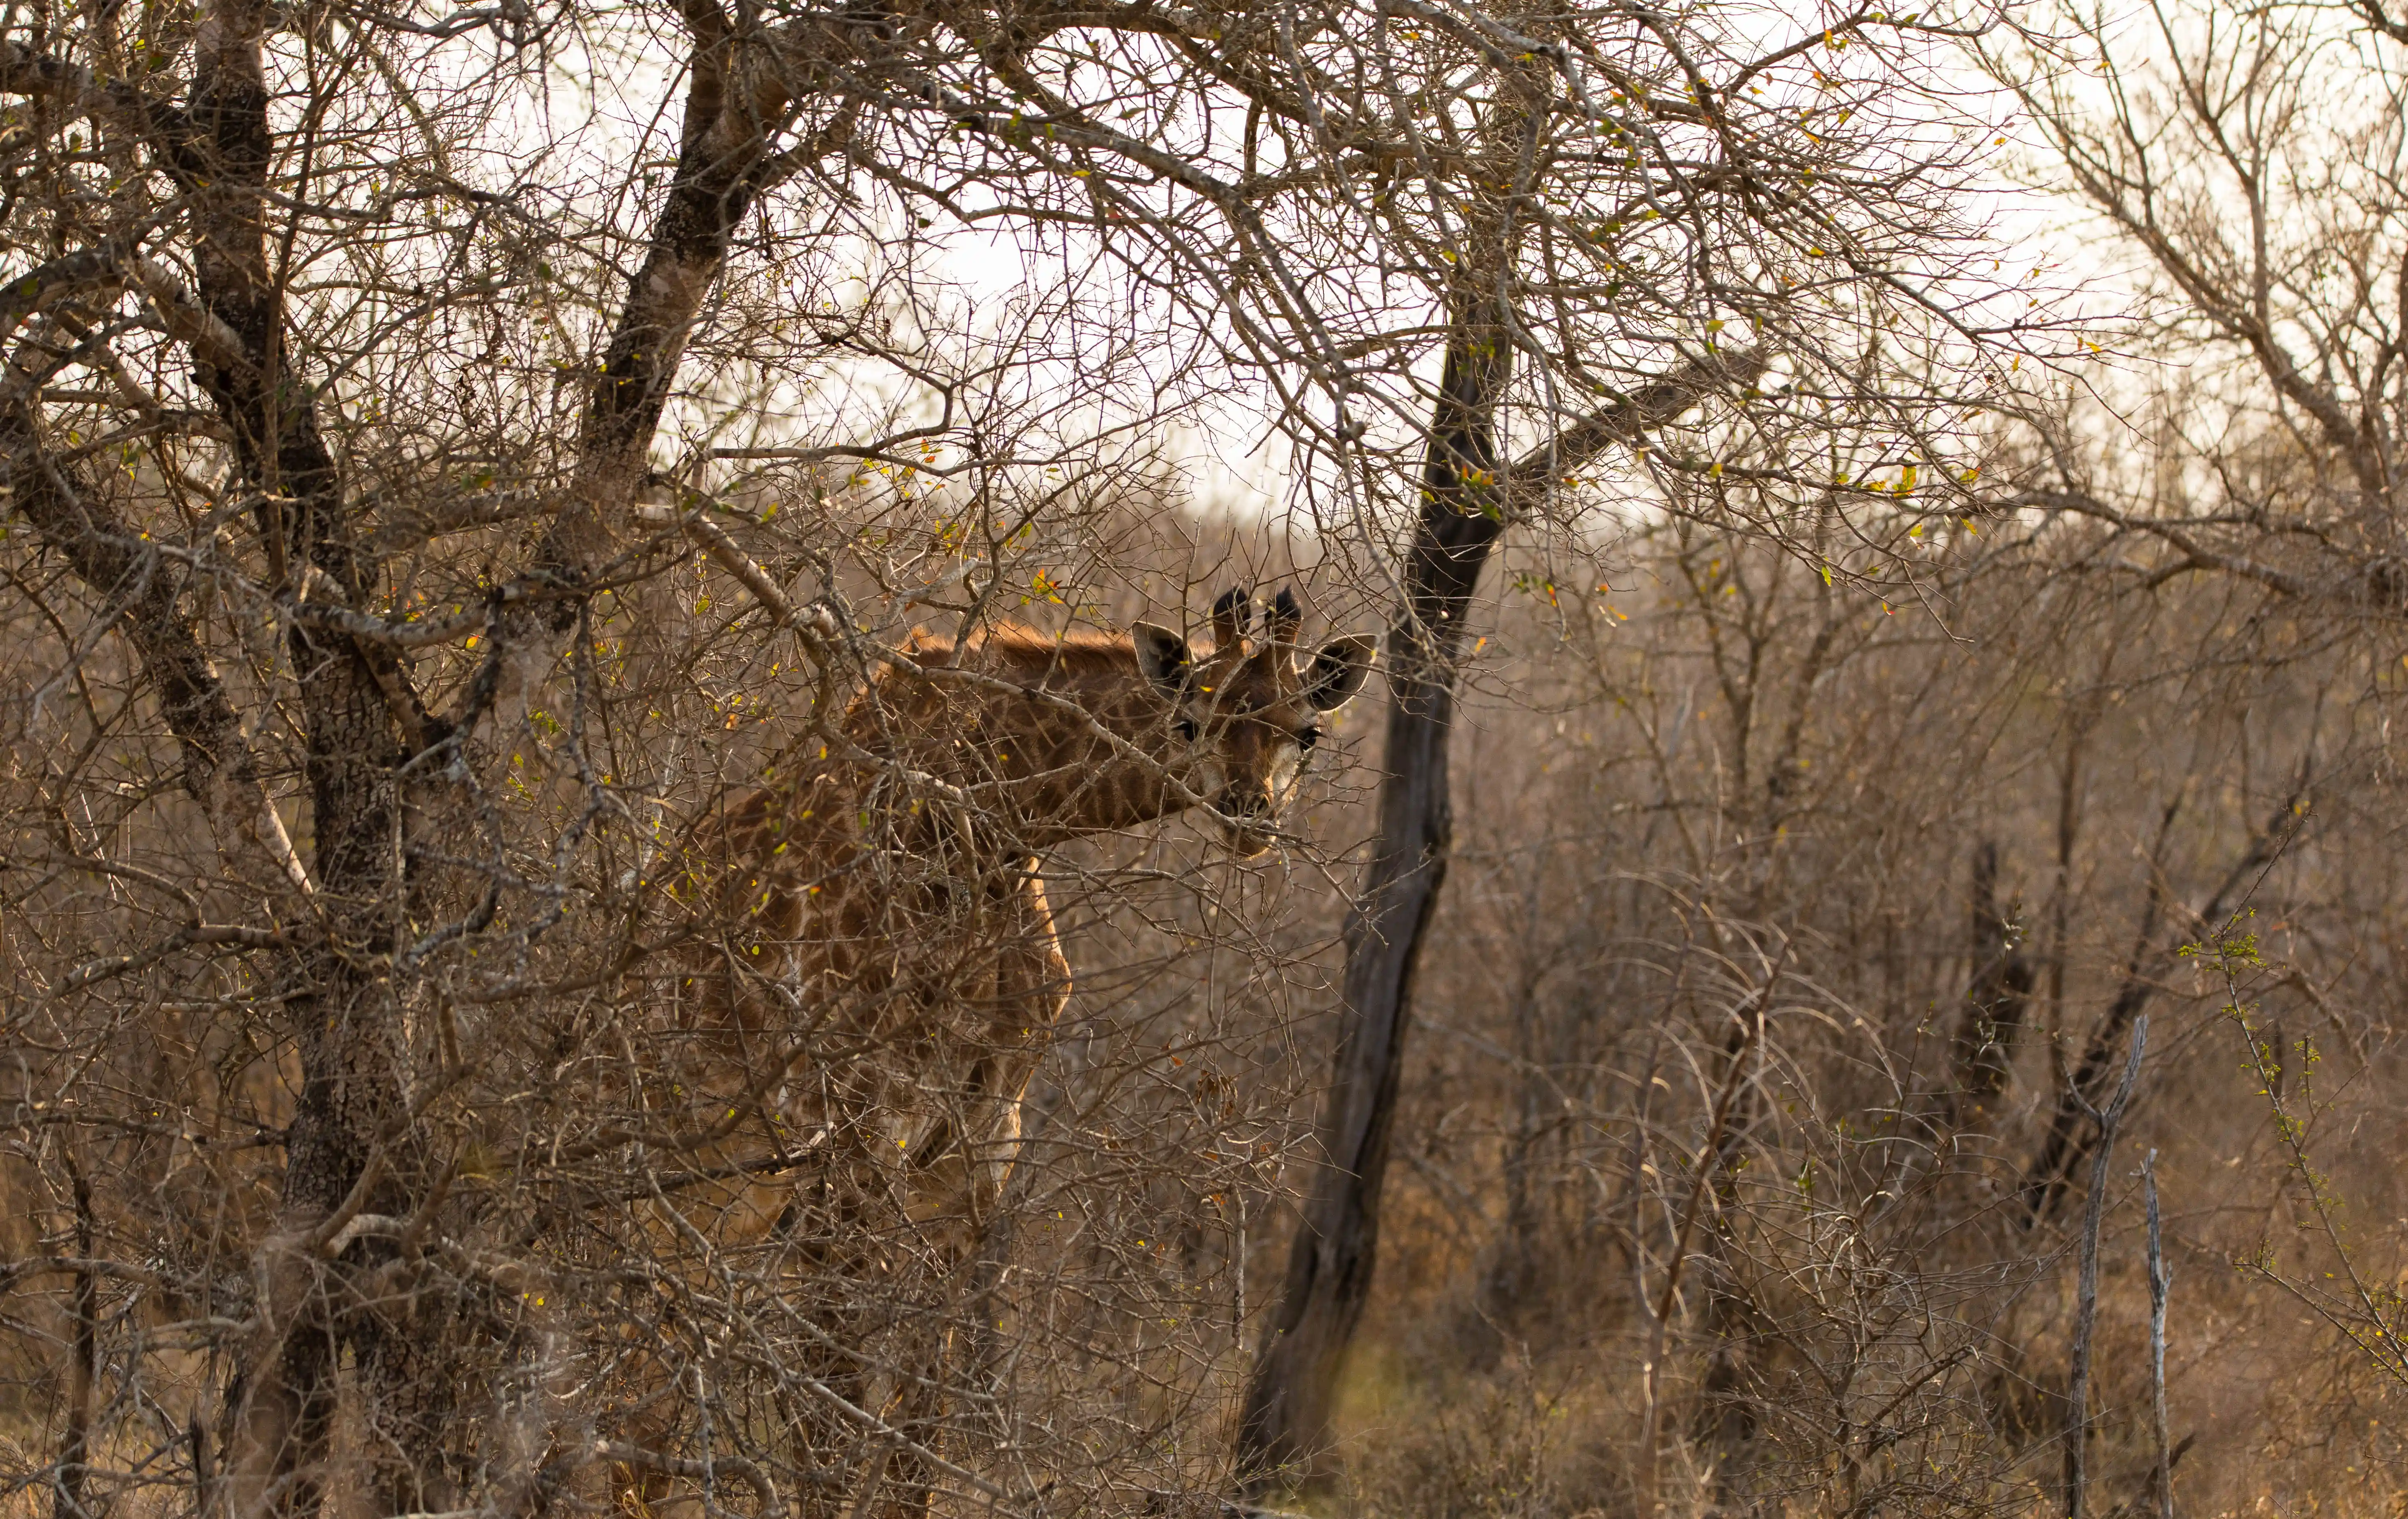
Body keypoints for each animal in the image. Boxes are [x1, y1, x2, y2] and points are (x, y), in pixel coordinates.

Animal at [611, 585, 1387, 1519]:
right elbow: (833, 1404)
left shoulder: (976, 1145)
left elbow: (920, 1417)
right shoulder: (844, 1128)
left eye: (1304, 730)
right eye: (1190, 718)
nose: (1247, 814)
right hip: (669, 1158)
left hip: (738, 1192)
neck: (990, 827)